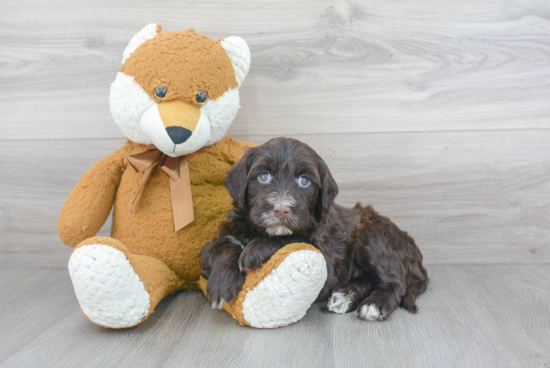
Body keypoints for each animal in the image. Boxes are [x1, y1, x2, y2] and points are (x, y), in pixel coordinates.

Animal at [201, 137, 430, 320]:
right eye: (263, 176)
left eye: (304, 181)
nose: (281, 209)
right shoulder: (219, 238)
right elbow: (222, 245)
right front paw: (222, 283)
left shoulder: (326, 259)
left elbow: (295, 238)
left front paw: (255, 250)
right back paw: (344, 297)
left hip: (373, 237)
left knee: (395, 283)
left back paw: (375, 305)